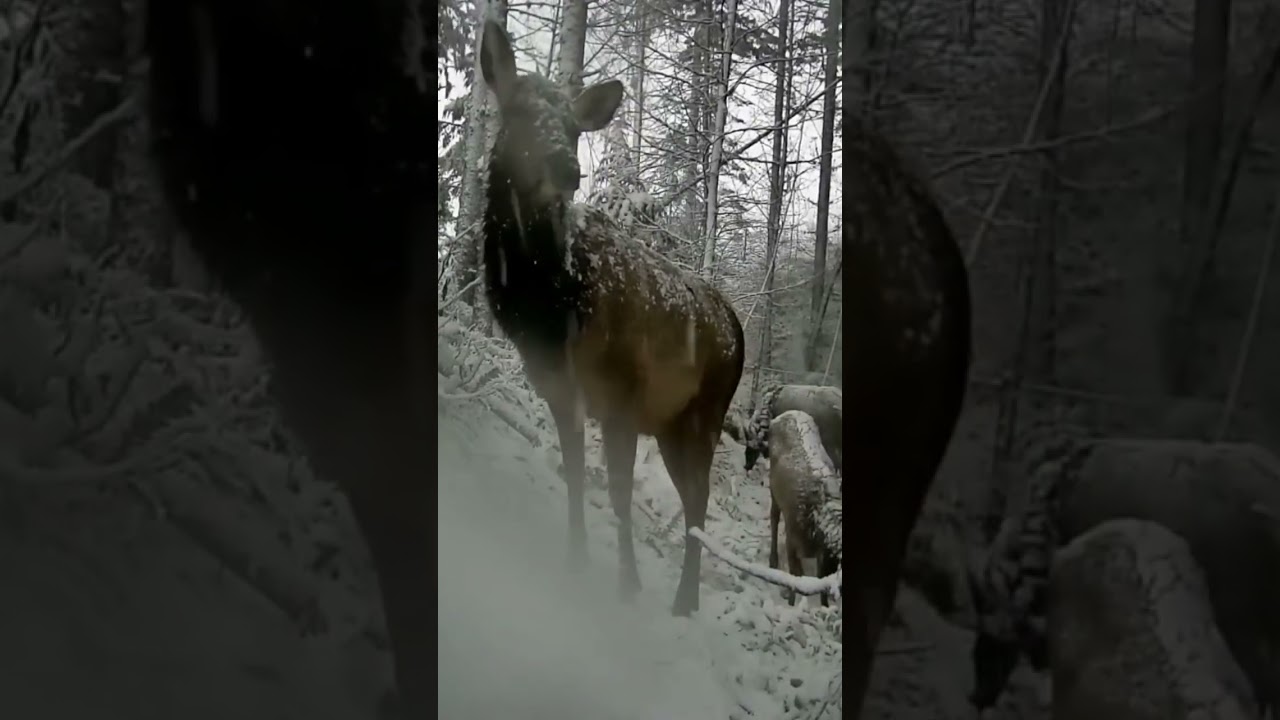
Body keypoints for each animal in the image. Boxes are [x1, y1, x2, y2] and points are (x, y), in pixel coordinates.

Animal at [477, 21, 746, 616]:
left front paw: (627, 585)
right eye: (517, 109)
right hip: (670, 423)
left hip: (704, 414)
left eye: (574, 127)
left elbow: (619, 493)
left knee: (699, 501)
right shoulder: (560, 389)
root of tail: (738, 327)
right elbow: (577, 475)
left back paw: (684, 600)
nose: (567, 169)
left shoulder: (622, 391)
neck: (553, 311)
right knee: (694, 502)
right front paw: (575, 562)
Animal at [766, 410, 842, 607]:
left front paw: (824, 607)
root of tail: (787, 414)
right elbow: (796, 578)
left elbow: (821, 582)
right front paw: (791, 603)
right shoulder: (792, 539)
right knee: (774, 517)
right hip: (773, 487)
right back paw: (773, 560)